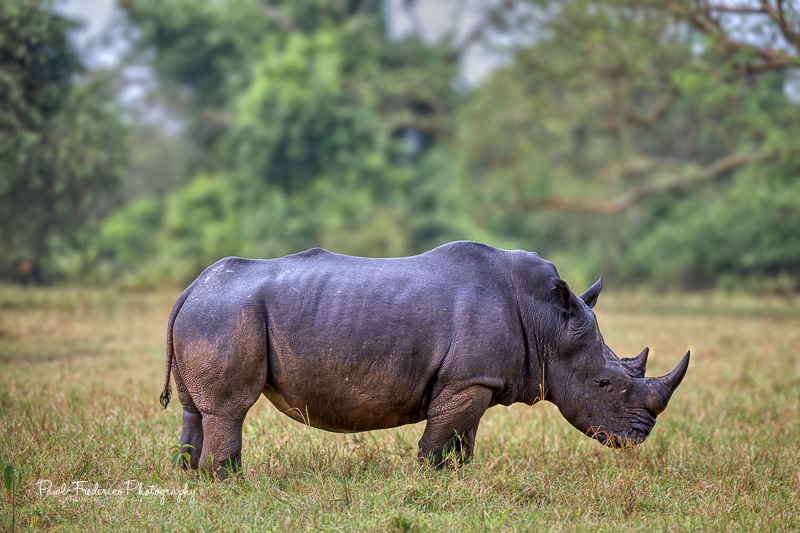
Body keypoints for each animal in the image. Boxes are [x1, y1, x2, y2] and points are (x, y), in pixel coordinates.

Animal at [160, 241, 689, 479]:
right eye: (604, 385)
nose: (640, 436)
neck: (547, 323)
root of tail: (190, 288)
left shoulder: (475, 380)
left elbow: (464, 435)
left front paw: (461, 479)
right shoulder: (468, 379)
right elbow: (441, 436)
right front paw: (427, 481)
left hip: (212, 312)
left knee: (194, 408)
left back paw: (189, 478)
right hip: (227, 313)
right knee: (230, 407)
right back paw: (230, 483)